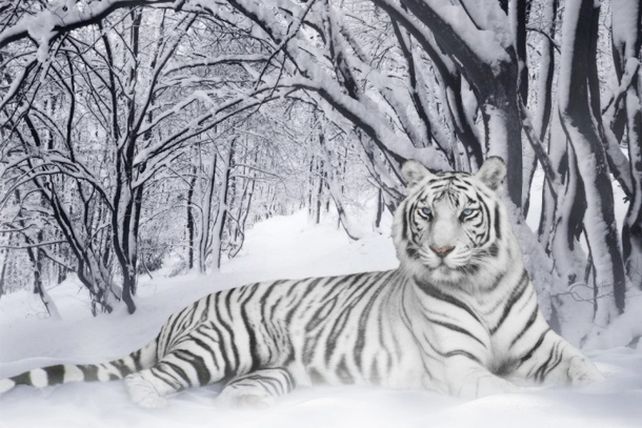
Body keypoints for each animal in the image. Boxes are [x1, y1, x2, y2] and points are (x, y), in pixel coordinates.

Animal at [0, 157, 603, 407]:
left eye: (466, 213)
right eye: (427, 214)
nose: (440, 250)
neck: (480, 285)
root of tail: (181, 311)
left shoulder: (542, 347)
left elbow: (584, 369)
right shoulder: (459, 366)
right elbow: (505, 391)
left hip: (271, 372)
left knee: (233, 393)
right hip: (221, 345)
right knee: (147, 382)